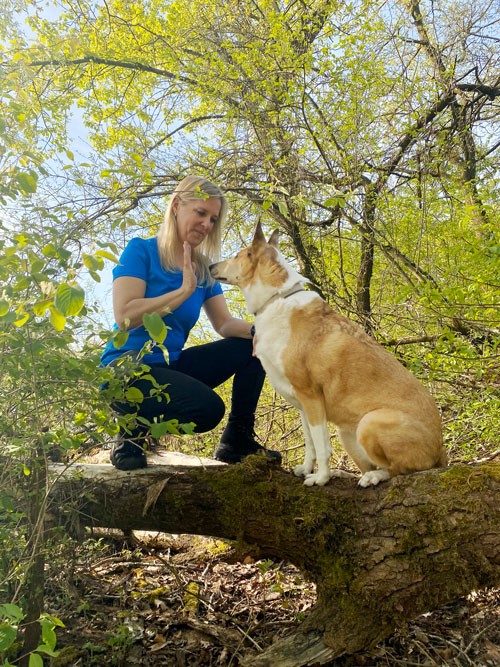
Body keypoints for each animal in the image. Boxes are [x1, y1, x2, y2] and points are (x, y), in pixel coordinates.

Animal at [209, 222, 448, 488]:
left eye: (237, 255)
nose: (209, 266)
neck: (276, 299)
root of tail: (441, 452)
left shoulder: (312, 397)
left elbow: (322, 446)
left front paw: (320, 479)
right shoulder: (302, 404)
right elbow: (311, 444)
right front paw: (306, 469)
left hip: (369, 423)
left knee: (397, 470)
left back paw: (369, 477)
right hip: (347, 433)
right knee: (373, 465)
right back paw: (345, 473)